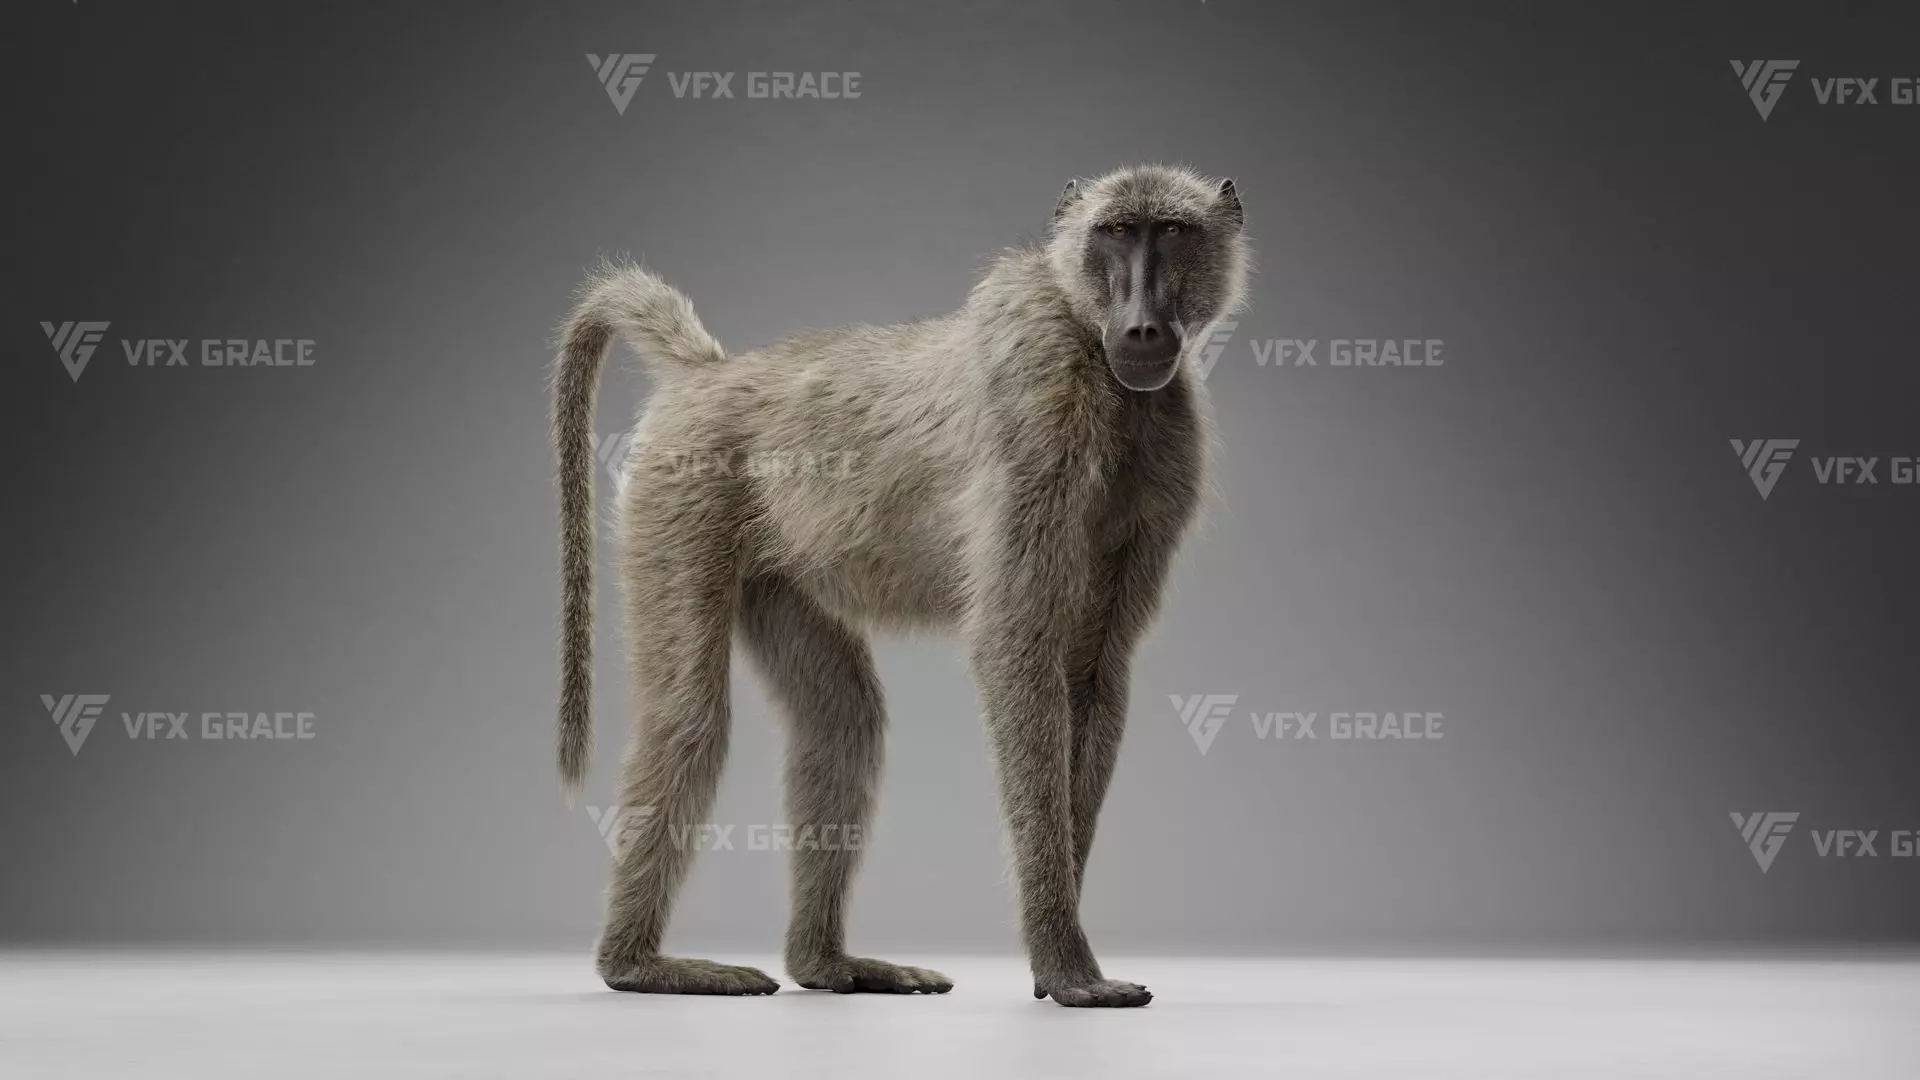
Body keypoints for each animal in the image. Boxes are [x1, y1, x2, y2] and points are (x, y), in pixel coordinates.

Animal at [551, 163, 1249, 1007]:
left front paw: (1055, 959)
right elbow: (1017, 649)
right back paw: (638, 966)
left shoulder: (1169, 447)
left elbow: (1091, 674)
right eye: (1116, 233)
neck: (1090, 344)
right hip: (680, 491)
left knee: (842, 719)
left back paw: (826, 965)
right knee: (687, 717)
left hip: (776, 565)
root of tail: (709, 373)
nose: (1142, 328)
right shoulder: (1039, 412)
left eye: (1172, 233)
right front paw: (1065, 964)